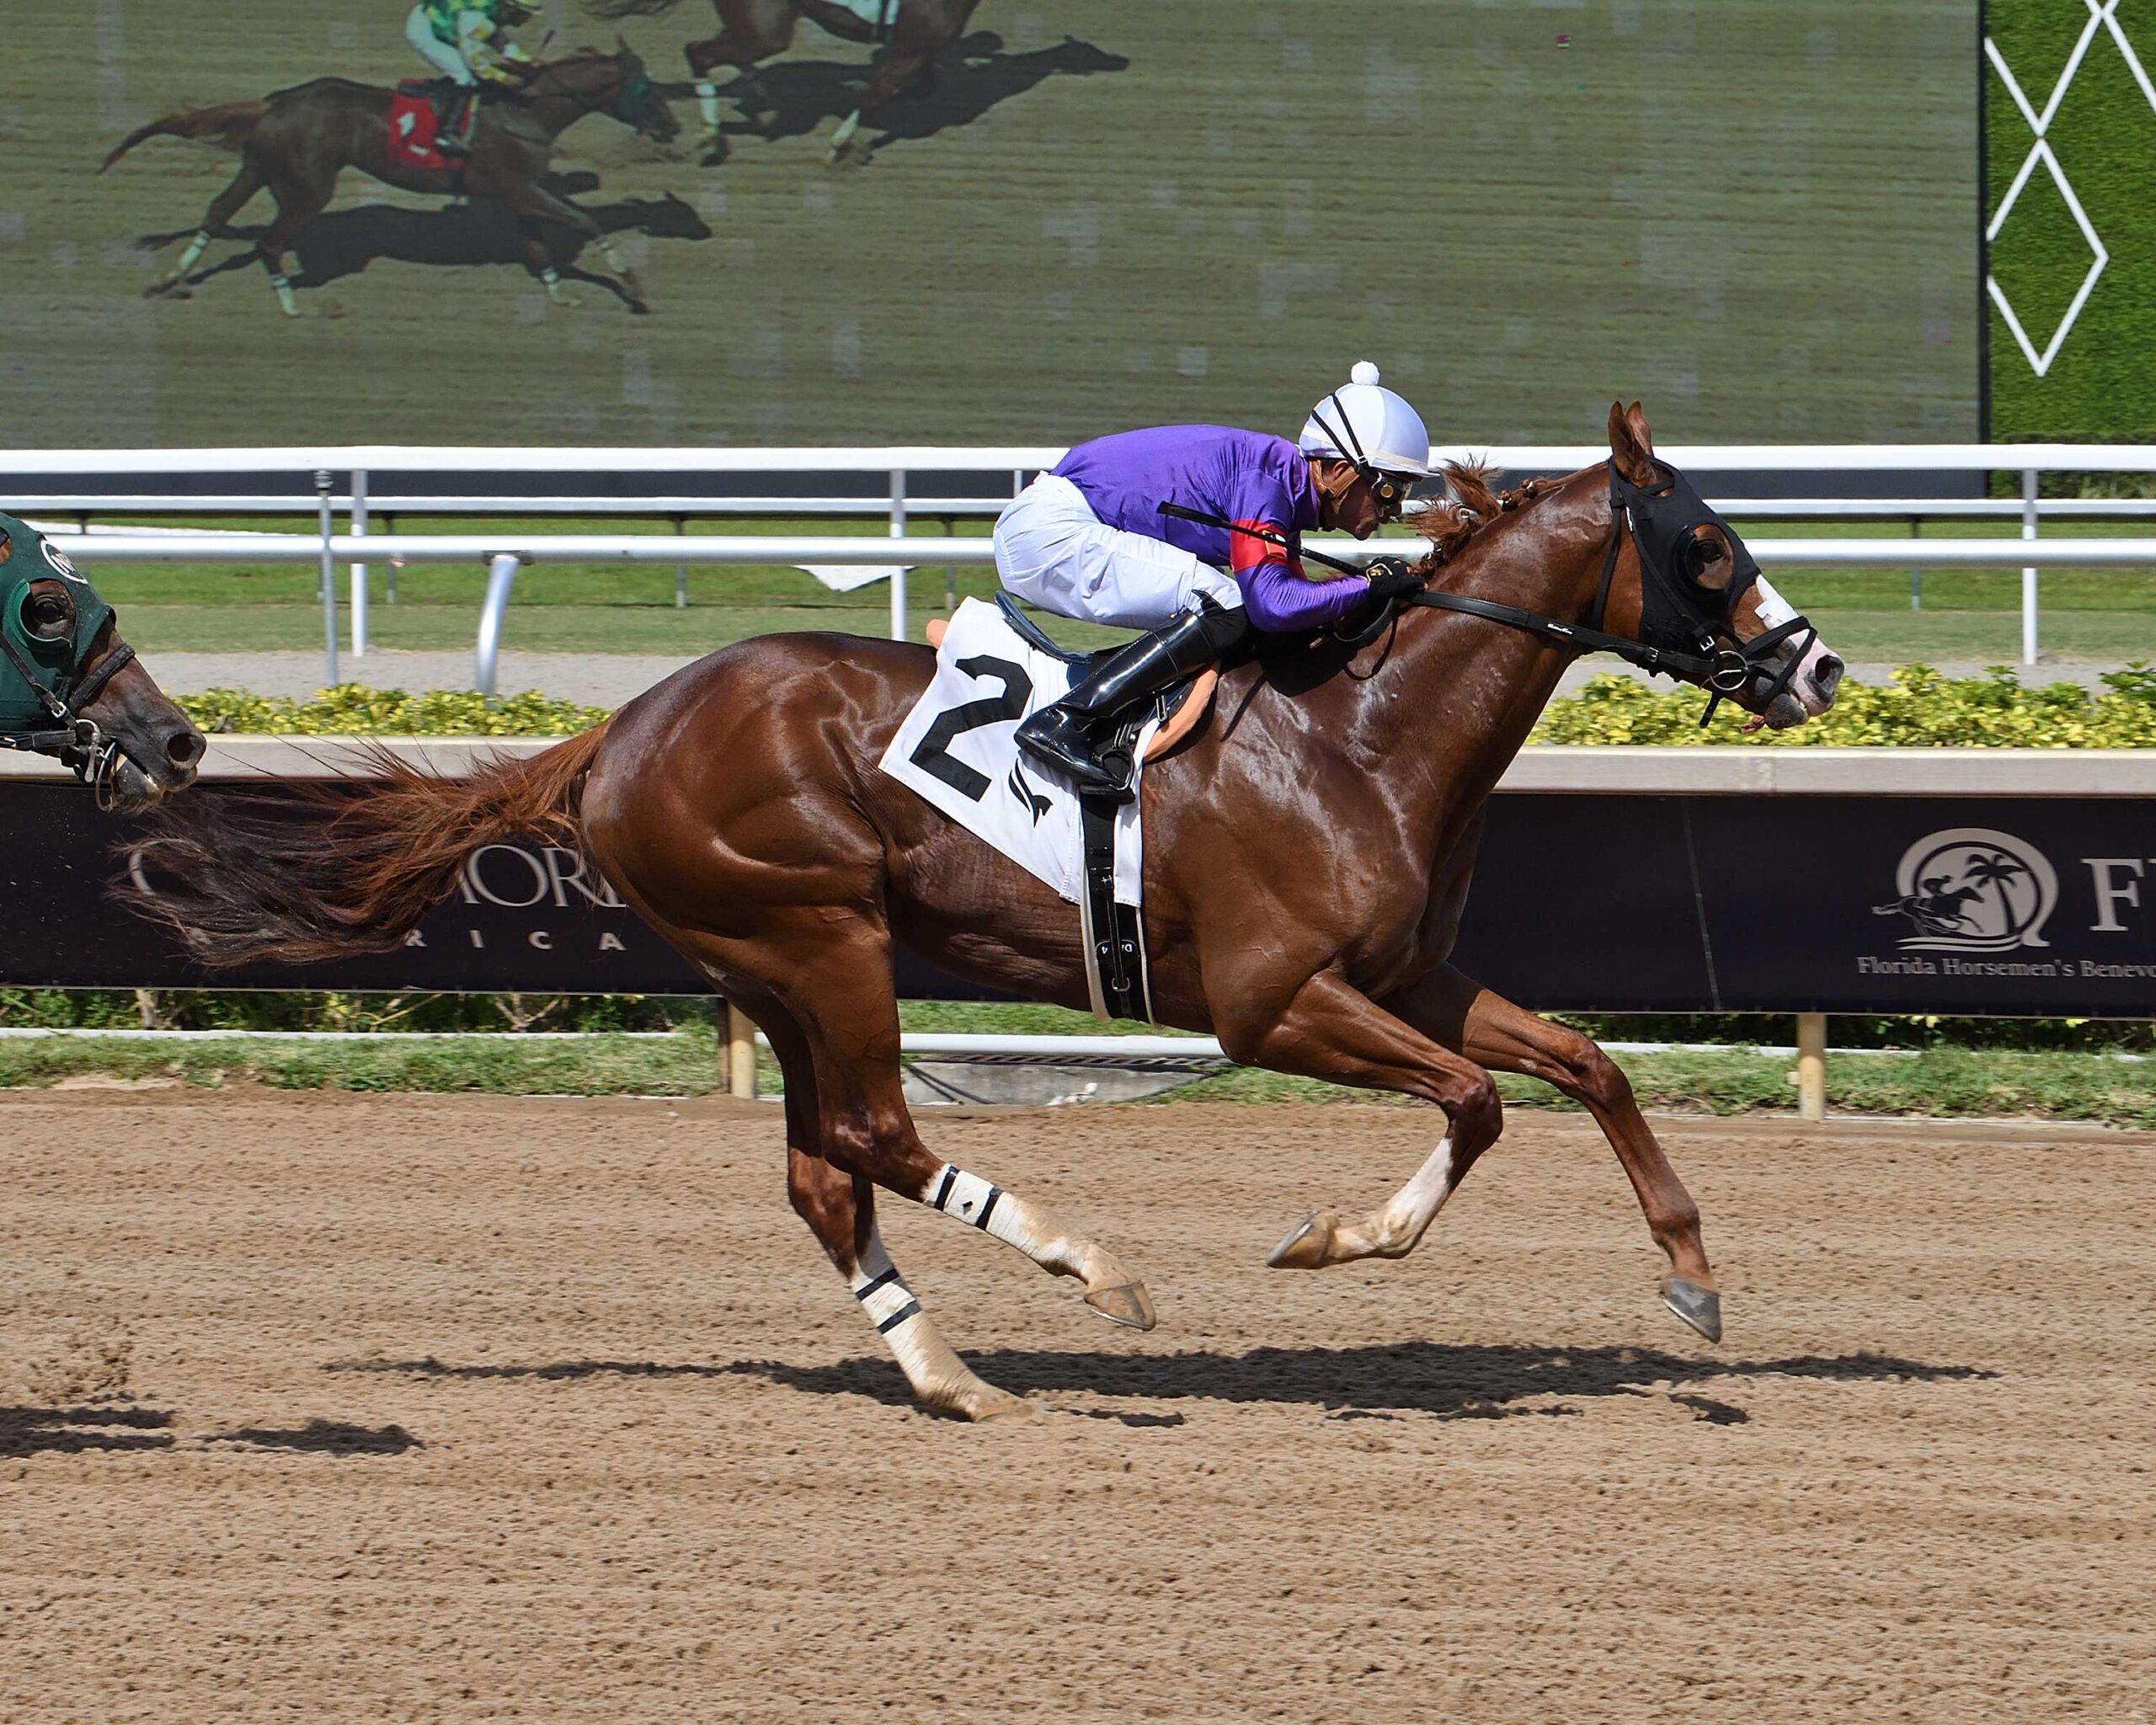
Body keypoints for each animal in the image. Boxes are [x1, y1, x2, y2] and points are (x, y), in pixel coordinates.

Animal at [98, 46, 680, 317]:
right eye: (648, 89)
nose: (673, 127)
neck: (525, 110)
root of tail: (274, 102)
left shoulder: (517, 193)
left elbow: (538, 248)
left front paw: (561, 299)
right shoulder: (519, 187)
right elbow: (585, 222)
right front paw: (633, 288)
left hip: (261, 168)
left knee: (217, 213)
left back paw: (170, 279)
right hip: (308, 190)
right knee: (269, 242)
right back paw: (294, 307)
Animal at [125, 405, 1845, 1422]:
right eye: (1705, 548)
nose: (1816, 664)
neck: (1356, 733)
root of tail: (616, 732)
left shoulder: (1407, 975)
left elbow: (1580, 1062)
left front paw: (1694, 1280)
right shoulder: (1271, 1004)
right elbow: (1480, 1101)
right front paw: (1334, 1237)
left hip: (783, 963)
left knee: (827, 1176)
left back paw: (949, 1373)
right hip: (818, 937)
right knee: (877, 1135)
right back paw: (1094, 1273)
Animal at [585, 0, 983, 164]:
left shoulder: (914, 49)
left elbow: (917, 88)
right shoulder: (909, 49)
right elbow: (875, 96)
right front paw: (840, 148)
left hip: (755, 29)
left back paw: (756, 100)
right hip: (766, 30)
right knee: (698, 52)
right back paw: (713, 134)